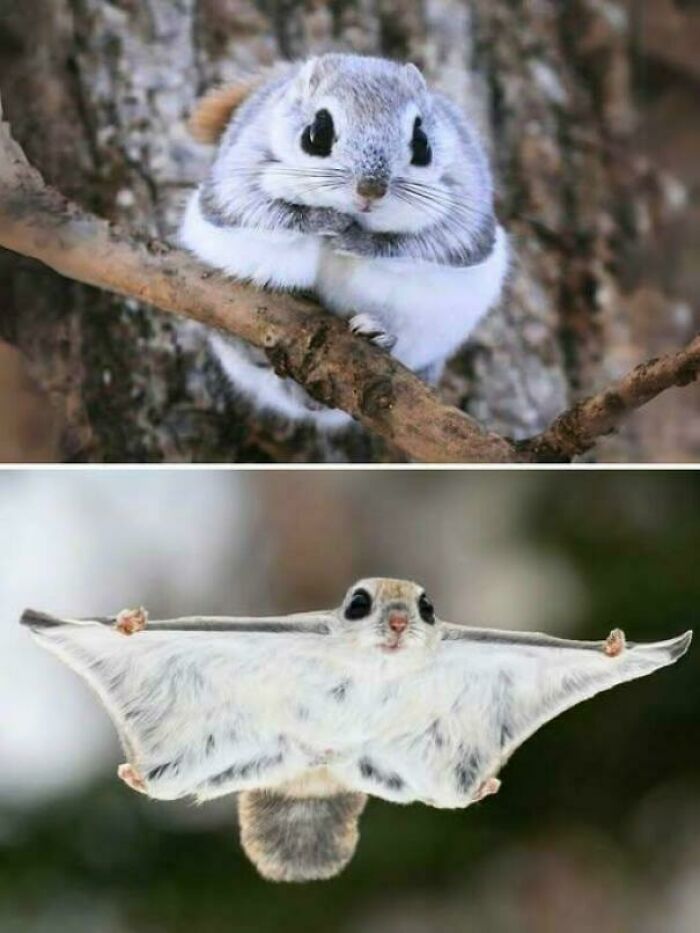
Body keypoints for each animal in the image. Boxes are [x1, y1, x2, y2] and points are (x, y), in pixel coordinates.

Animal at [180, 53, 509, 430]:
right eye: (316, 133)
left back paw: (378, 334)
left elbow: (422, 243)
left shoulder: (466, 212)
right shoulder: (239, 174)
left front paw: (357, 240)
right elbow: (261, 211)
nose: (371, 190)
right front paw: (326, 220)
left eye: (422, 142)